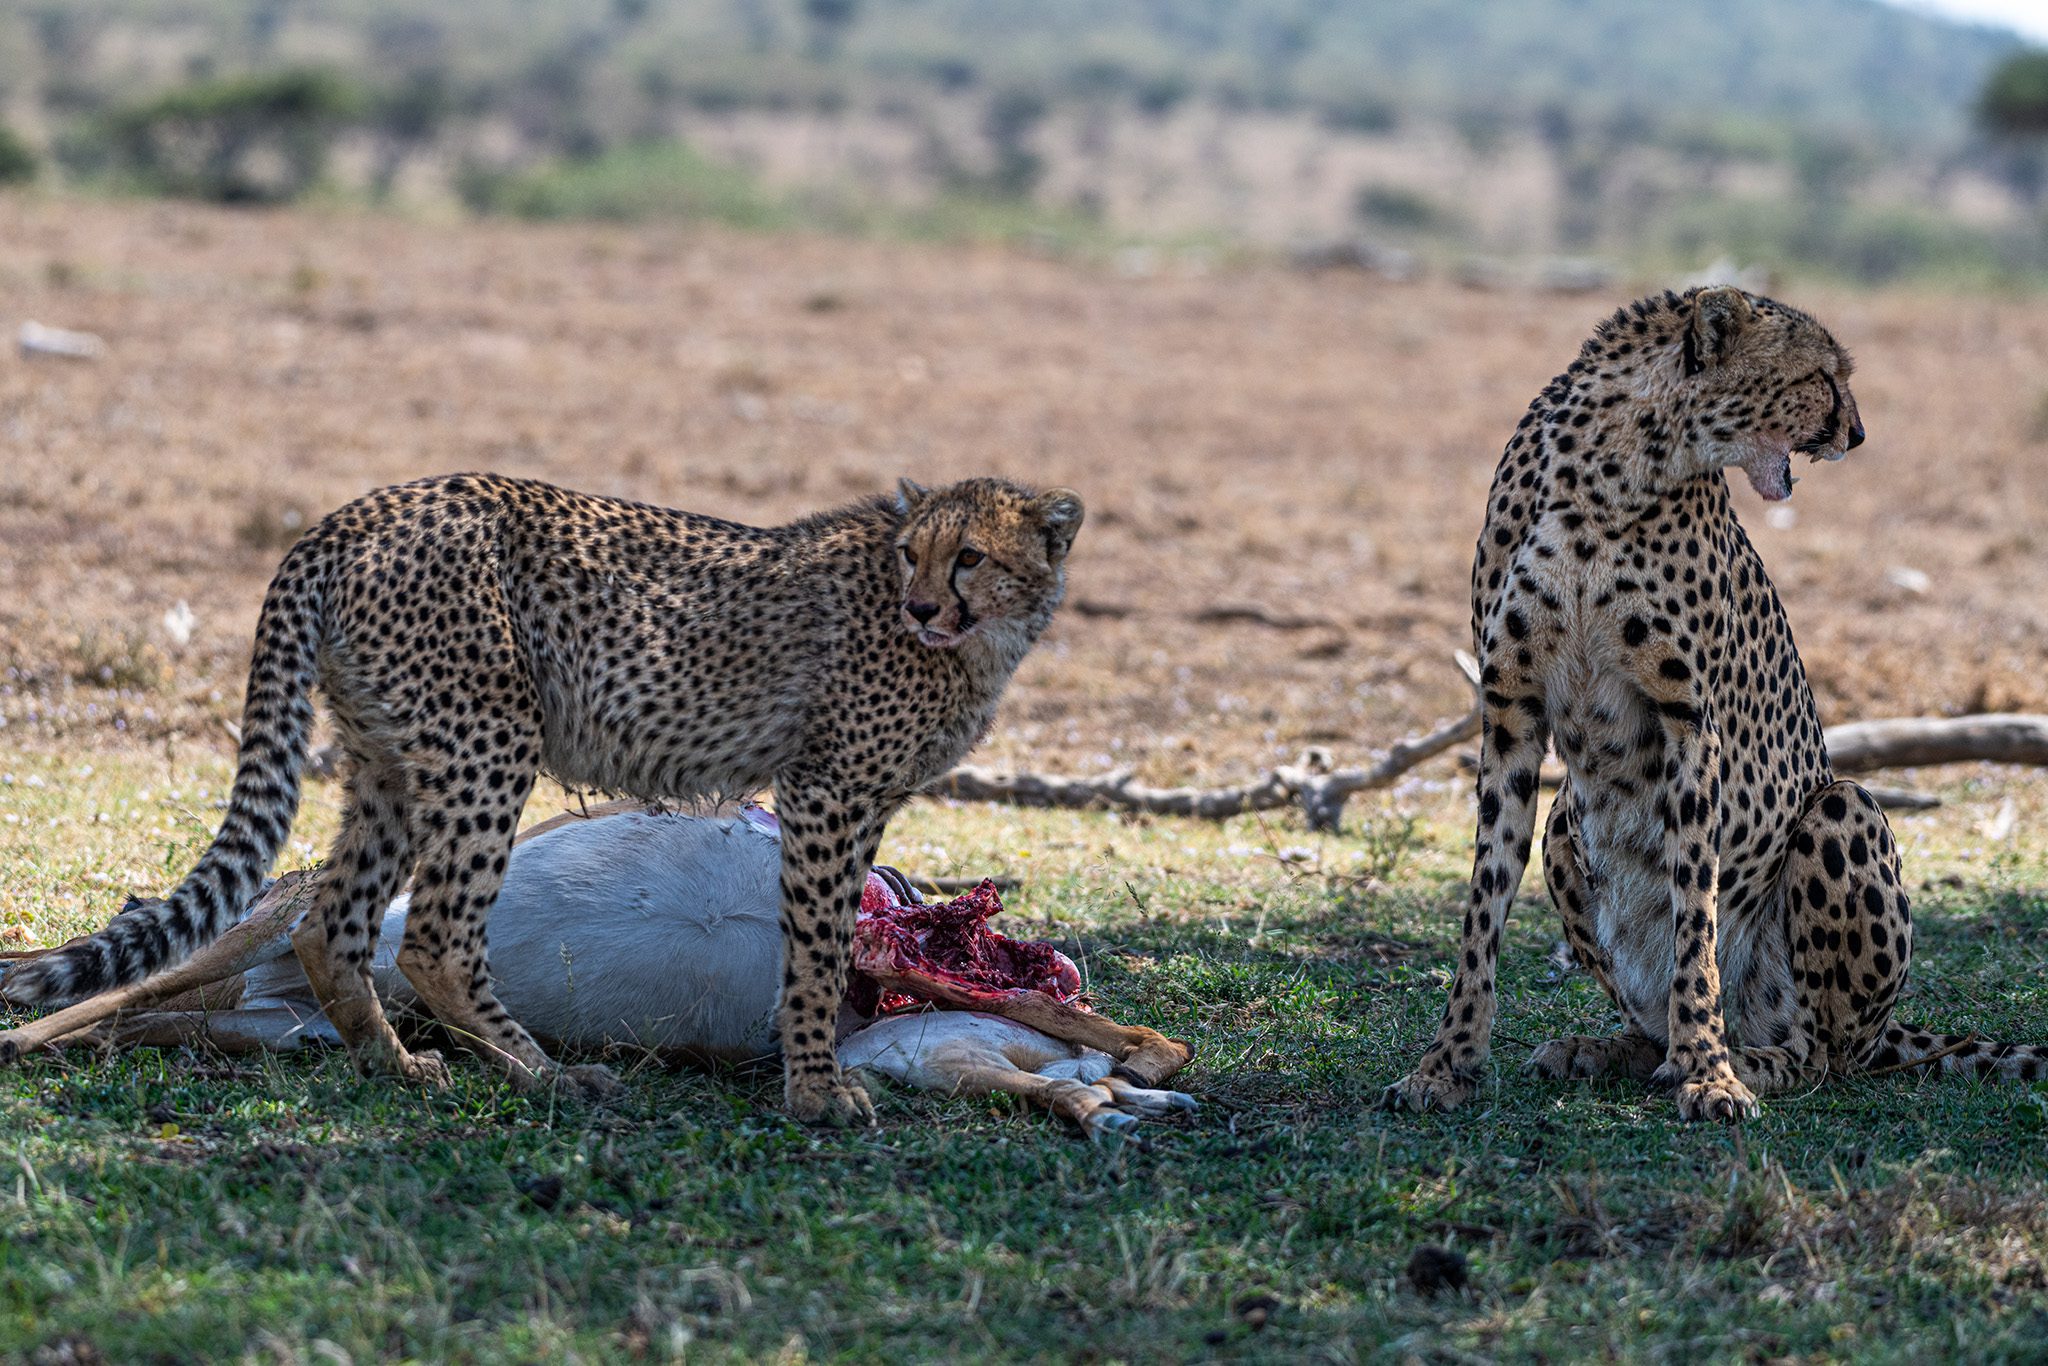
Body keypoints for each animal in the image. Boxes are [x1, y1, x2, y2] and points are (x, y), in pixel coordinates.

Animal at [4, 475, 1089, 1130]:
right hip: (489, 739)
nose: (921, 604)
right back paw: (542, 1073)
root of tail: (362, 508)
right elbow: (817, 951)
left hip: (387, 760)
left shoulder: (856, 802)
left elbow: (820, 944)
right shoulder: (826, 791)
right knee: (436, 936)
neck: (973, 644)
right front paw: (818, 1091)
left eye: (968, 555)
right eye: (914, 554)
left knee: (331, 924)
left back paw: (393, 1064)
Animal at [1384, 288, 2039, 1122]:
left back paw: (1746, 1059)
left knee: (1824, 1054)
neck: (1615, 469)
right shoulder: (1510, 711)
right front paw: (1447, 1064)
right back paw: (1607, 1050)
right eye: (1821, 375)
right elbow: (1482, 902)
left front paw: (1709, 1073)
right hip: (1567, 820)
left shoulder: (1688, 722)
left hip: (1840, 810)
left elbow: (1695, 909)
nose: (1858, 434)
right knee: (1654, 1015)